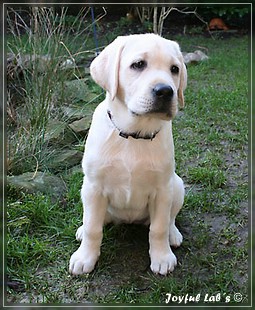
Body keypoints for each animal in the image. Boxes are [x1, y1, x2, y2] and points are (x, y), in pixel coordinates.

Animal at [69, 34, 187, 276]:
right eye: (138, 64)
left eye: (174, 69)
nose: (165, 91)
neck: (134, 134)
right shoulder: (94, 187)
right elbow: (93, 228)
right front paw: (85, 257)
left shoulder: (162, 189)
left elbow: (158, 228)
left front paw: (161, 257)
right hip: (87, 192)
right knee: (95, 219)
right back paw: (82, 230)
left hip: (177, 185)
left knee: (169, 218)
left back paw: (173, 235)